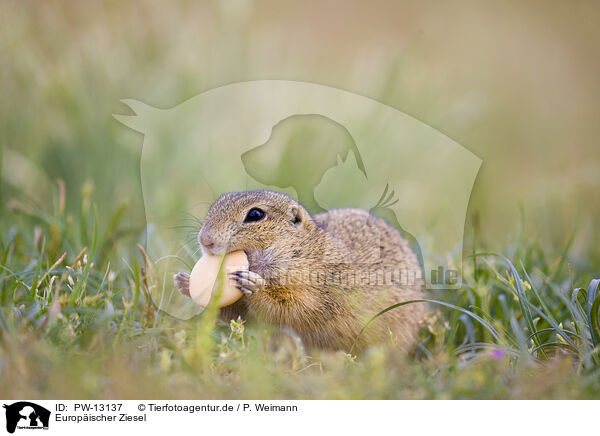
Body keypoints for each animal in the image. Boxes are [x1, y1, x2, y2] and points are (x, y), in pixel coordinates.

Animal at [175, 190, 426, 350]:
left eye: (255, 215)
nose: (205, 239)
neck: (300, 251)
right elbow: (241, 316)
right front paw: (184, 282)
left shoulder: (320, 292)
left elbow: (293, 309)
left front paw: (255, 287)